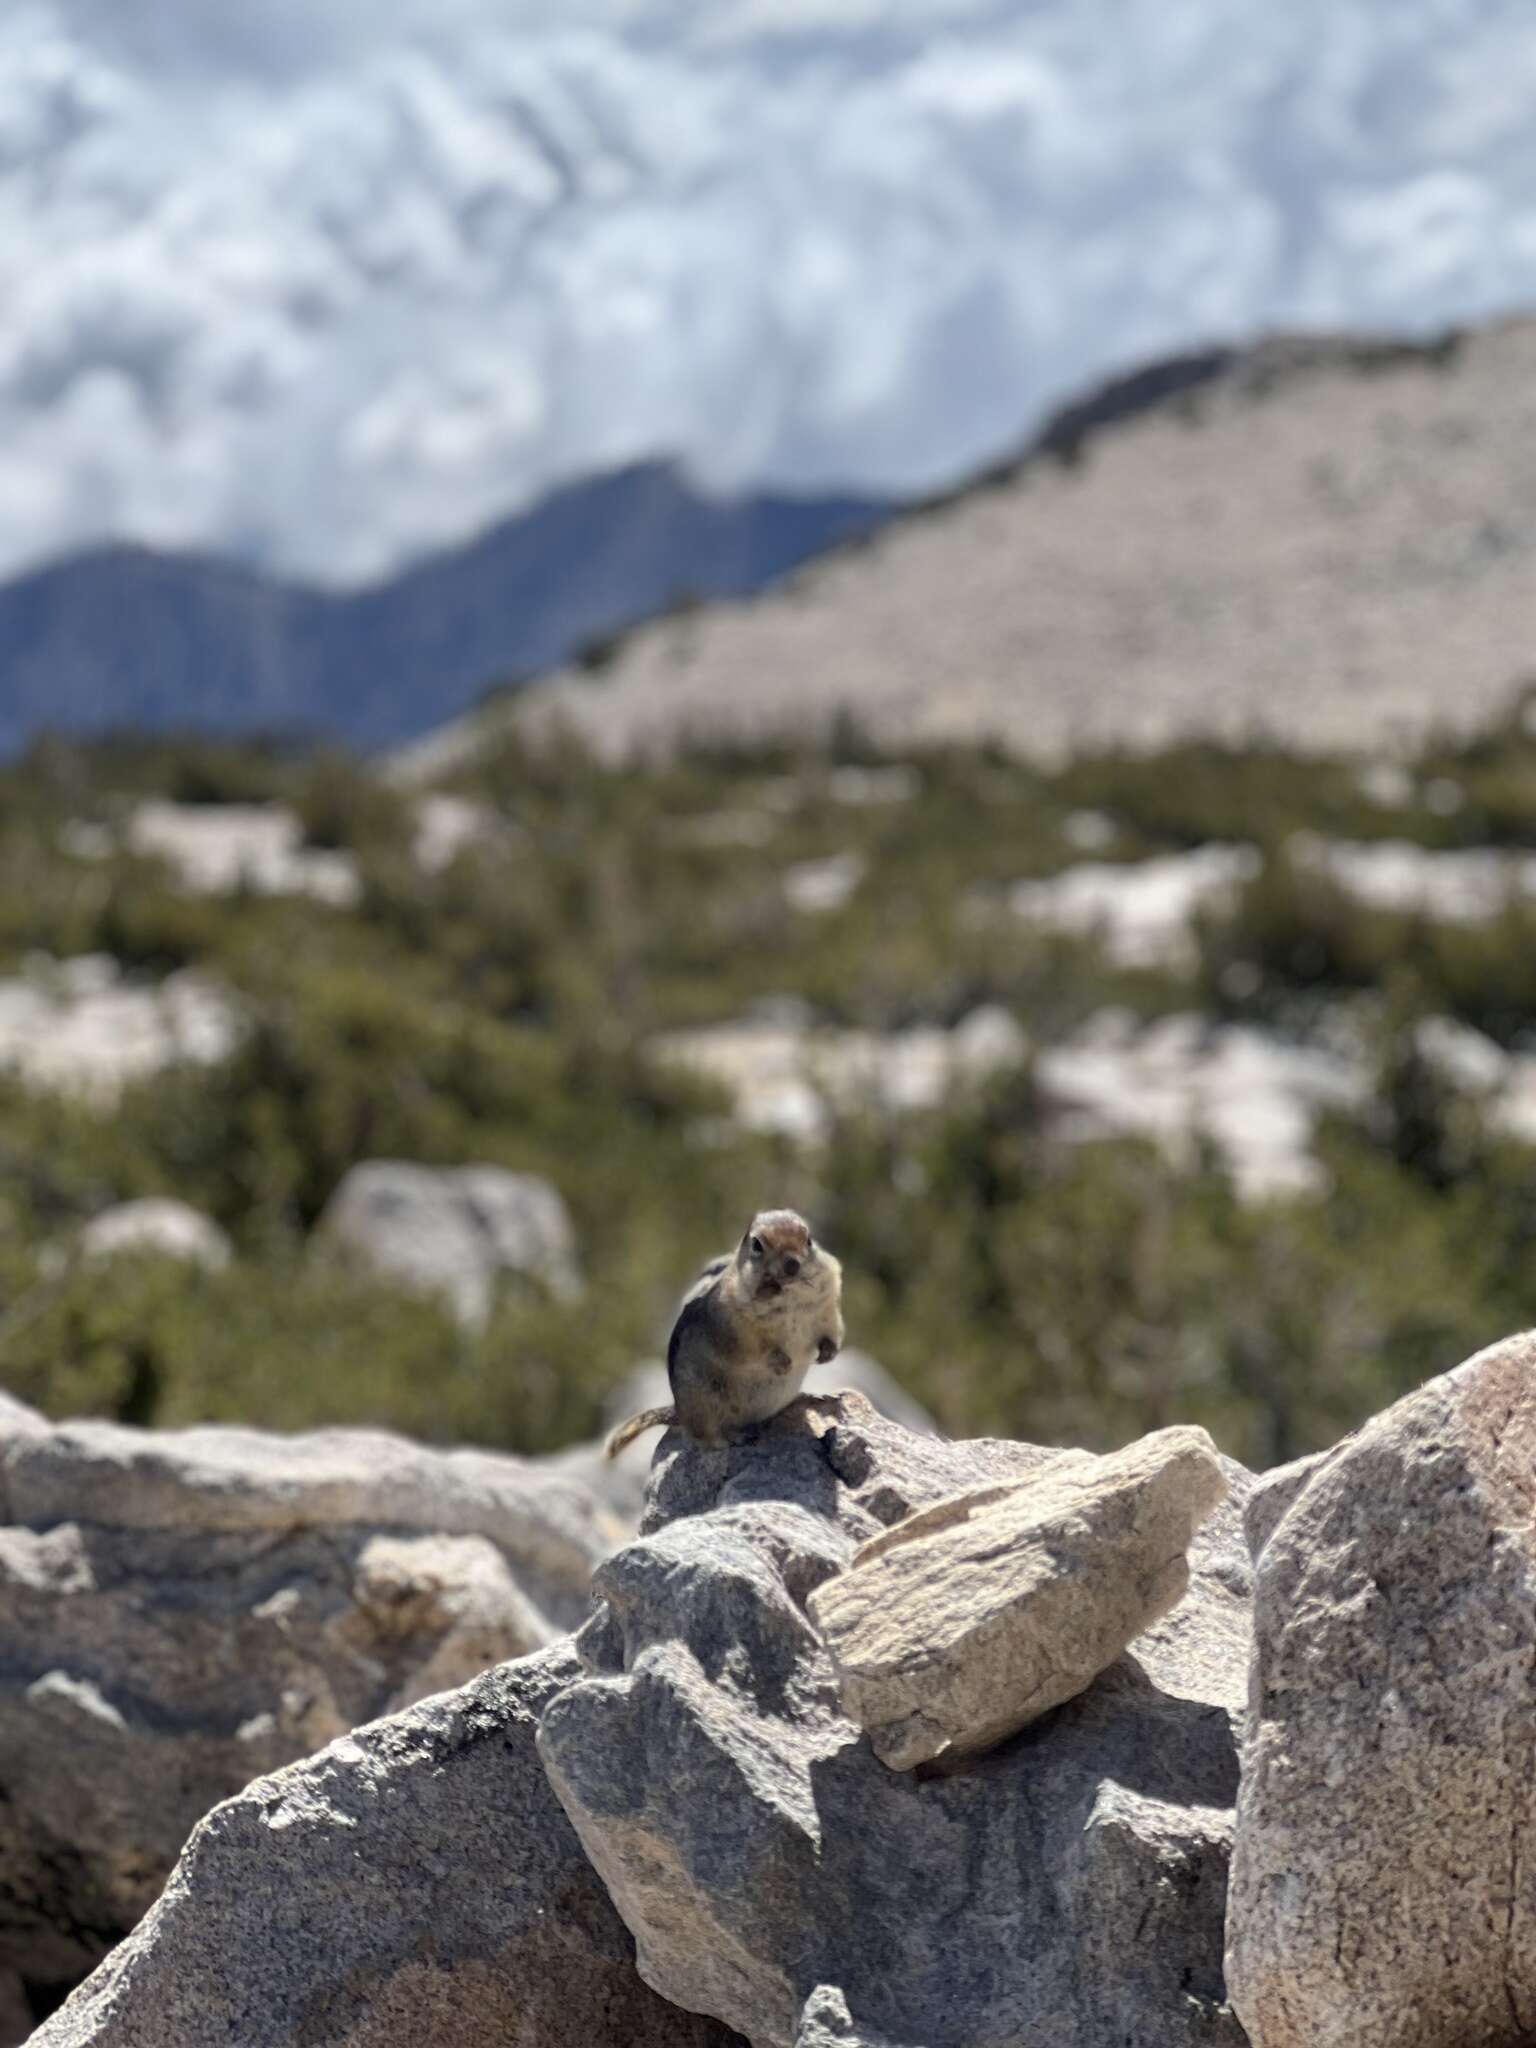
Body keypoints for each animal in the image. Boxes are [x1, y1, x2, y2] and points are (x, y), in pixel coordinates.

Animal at [606, 1212, 847, 1458]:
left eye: (809, 1240)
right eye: (757, 1245)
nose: (792, 1264)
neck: (790, 1297)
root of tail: (679, 1413)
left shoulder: (828, 1307)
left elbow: (831, 1330)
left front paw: (828, 1352)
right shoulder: (736, 1326)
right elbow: (754, 1350)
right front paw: (781, 1362)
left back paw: (812, 1398)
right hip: (703, 1406)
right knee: (704, 1437)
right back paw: (731, 1438)